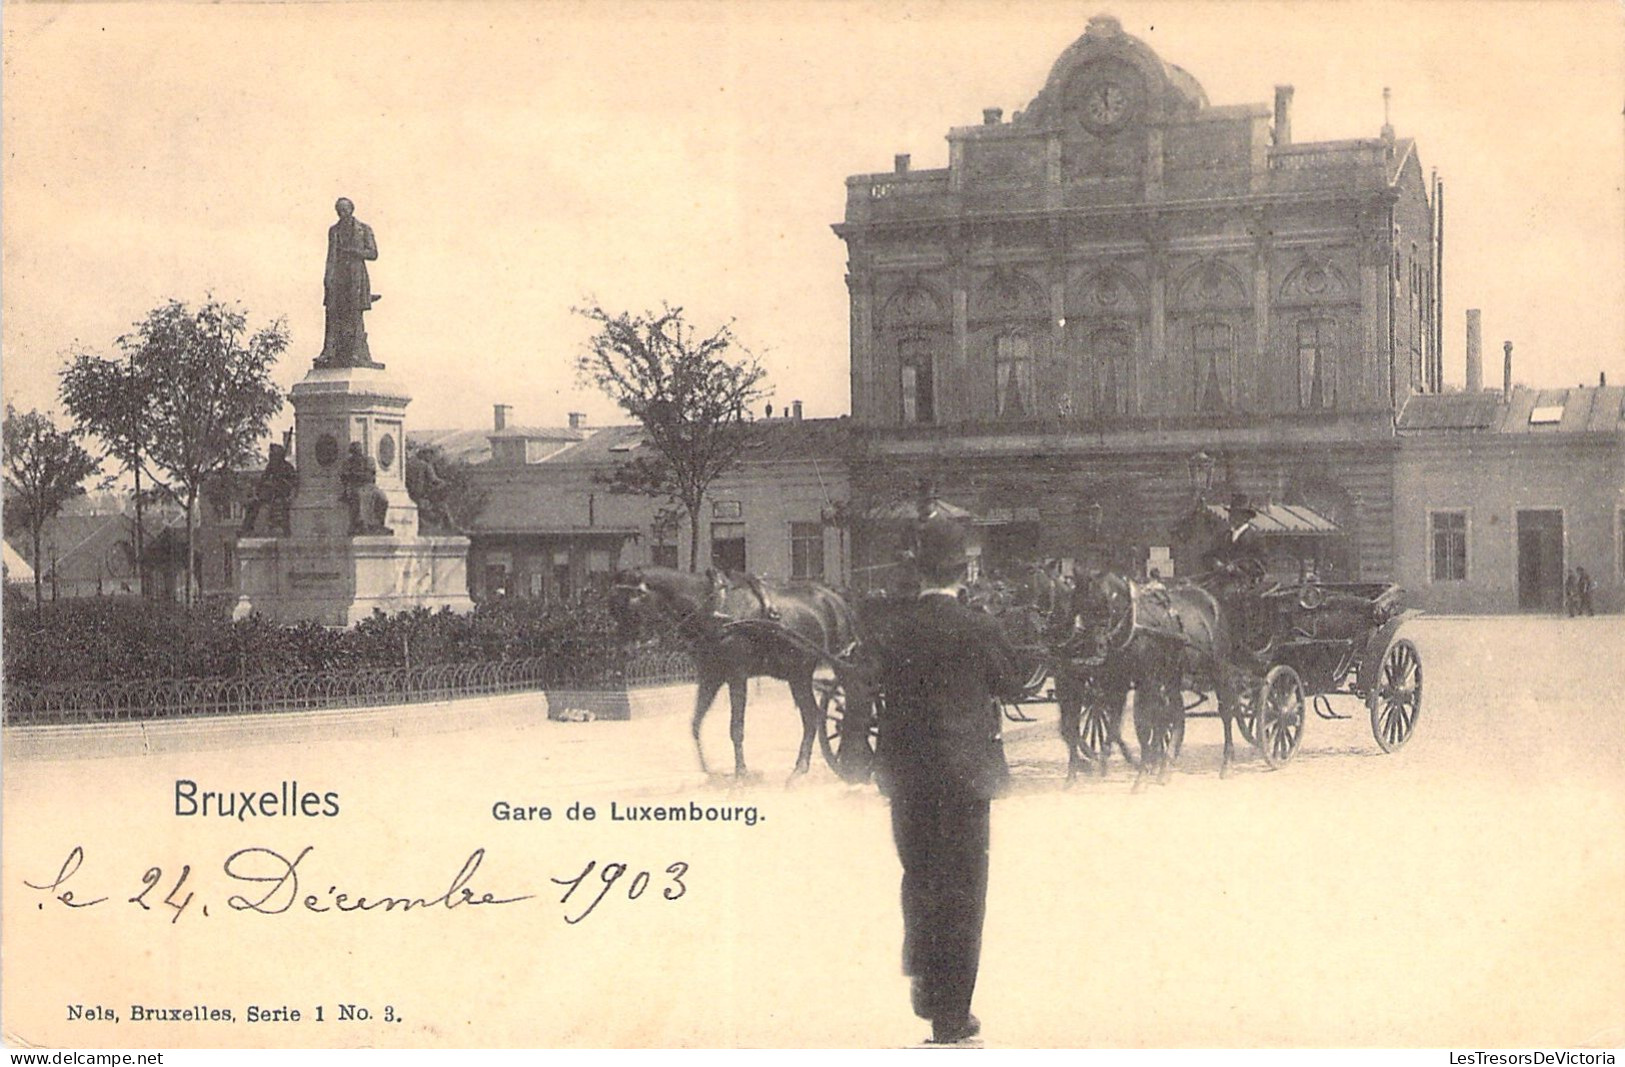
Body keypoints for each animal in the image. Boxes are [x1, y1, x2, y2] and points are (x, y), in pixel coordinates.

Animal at [611, 565, 871, 782]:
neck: (714, 607)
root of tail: (836, 599)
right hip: (799, 673)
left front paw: (741, 773)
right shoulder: (711, 676)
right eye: (614, 606)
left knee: (837, 708)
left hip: (829, 666)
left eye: (630, 603)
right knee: (817, 714)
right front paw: (710, 771)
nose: (624, 650)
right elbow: (696, 722)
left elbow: (736, 727)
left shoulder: (737, 675)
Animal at [1046, 574, 1235, 782]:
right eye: (1079, 604)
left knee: (1226, 711)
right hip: (1172, 675)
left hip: (1219, 668)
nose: (1097, 645)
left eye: (1106, 605)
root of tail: (1210, 599)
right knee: (1176, 714)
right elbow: (1104, 724)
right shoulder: (1107, 680)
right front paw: (1096, 763)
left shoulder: (1142, 679)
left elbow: (1143, 722)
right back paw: (1164, 766)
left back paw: (1226, 762)